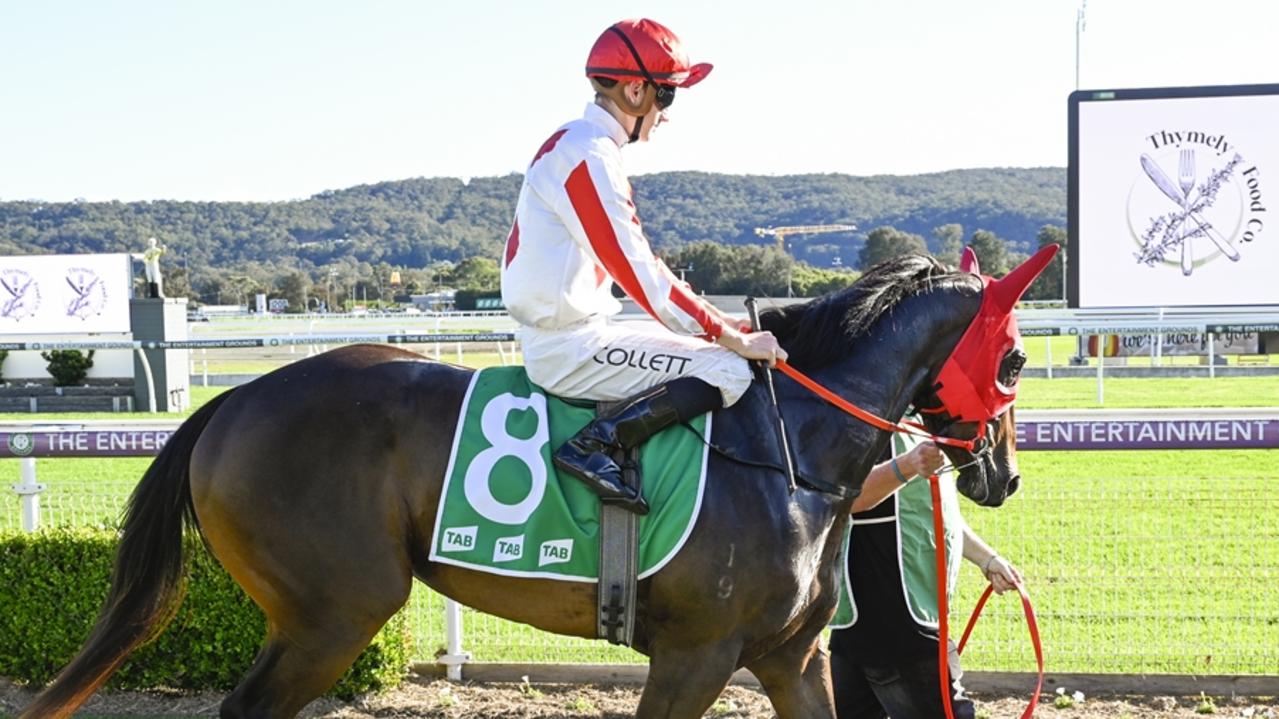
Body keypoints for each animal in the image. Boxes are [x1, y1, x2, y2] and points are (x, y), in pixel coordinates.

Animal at [17, 248, 1048, 716]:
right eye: (1015, 358)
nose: (1001, 475)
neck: (787, 448)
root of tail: (230, 402)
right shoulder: (696, 651)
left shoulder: (791, 654)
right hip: (335, 609)